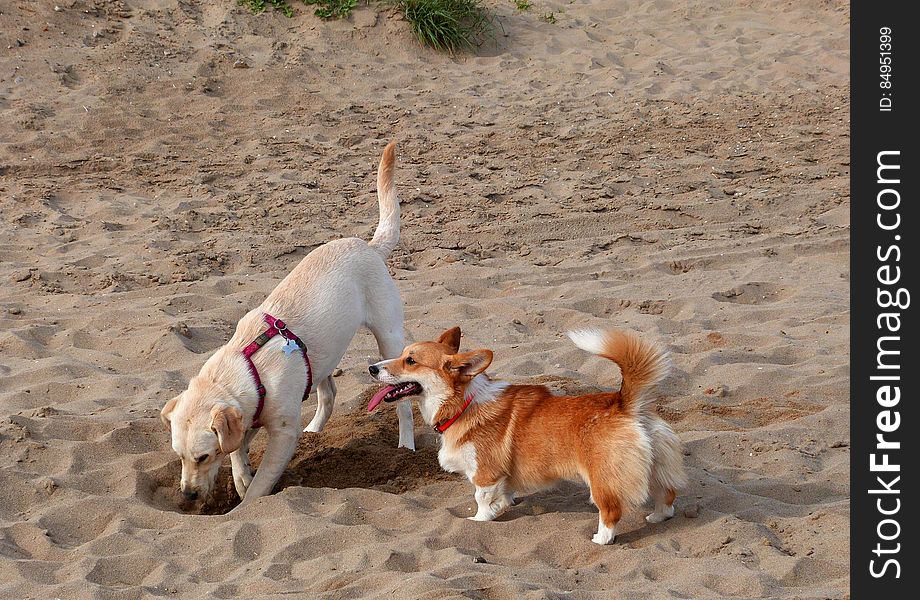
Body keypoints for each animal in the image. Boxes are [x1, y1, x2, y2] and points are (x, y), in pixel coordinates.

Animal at [162, 142, 414, 506]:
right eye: (179, 456)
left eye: (203, 457)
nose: (188, 495)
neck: (248, 369)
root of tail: (367, 246)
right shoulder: (248, 415)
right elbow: (238, 450)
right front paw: (240, 478)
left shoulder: (281, 432)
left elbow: (261, 481)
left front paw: (248, 500)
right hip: (323, 355)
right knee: (329, 392)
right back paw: (314, 431)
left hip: (389, 335)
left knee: (403, 404)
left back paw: (406, 445)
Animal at [366, 328, 684, 544]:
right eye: (403, 355)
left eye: (410, 361)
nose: (371, 368)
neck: (462, 403)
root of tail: (624, 402)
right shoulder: (503, 475)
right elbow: (504, 495)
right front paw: (503, 508)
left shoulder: (485, 473)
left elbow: (481, 499)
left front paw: (479, 520)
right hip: (657, 466)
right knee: (667, 494)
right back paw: (657, 516)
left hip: (602, 480)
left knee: (611, 512)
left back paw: (600, 539)